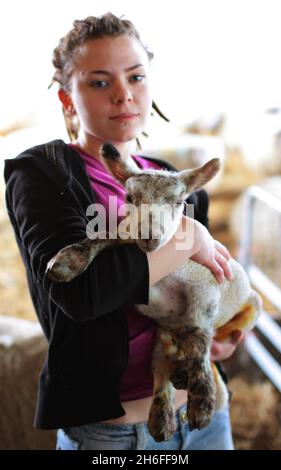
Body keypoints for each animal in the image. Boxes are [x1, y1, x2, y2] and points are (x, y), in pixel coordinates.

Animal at [44, 142, 262, 440]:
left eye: (179, 202)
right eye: (129, 197)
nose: (149, 236)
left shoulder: (205, 288)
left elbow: (197, 337)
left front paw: (202, 402)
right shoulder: (132, 251)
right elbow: (103, 236)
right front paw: (66, 261)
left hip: (250, 309)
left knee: (204, 339)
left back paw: (185, 377)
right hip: (163, 333)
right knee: (161, 364)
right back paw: (162, 415)